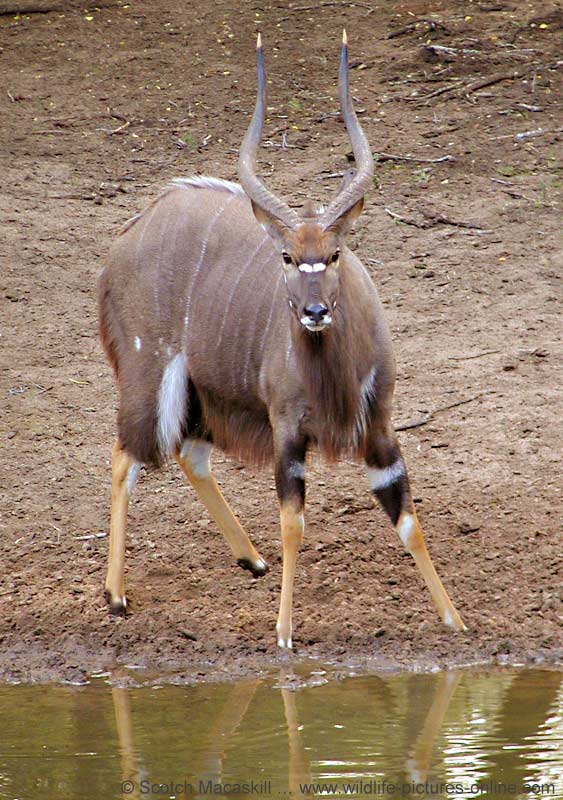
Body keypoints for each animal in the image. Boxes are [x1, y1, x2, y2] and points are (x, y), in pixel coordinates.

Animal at [98, 32, 468, 648]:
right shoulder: (287, 428)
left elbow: (407, 518)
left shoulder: (379, 425)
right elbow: (293, 521)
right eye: (289, 258)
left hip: (205, 394)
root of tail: (126, 237)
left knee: (189, 453)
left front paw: (455, 620)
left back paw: (251, 559)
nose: (315, 311)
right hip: (151, 375)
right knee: (127, 454)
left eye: (335, 254)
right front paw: (284, 633)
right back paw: (116, 595)